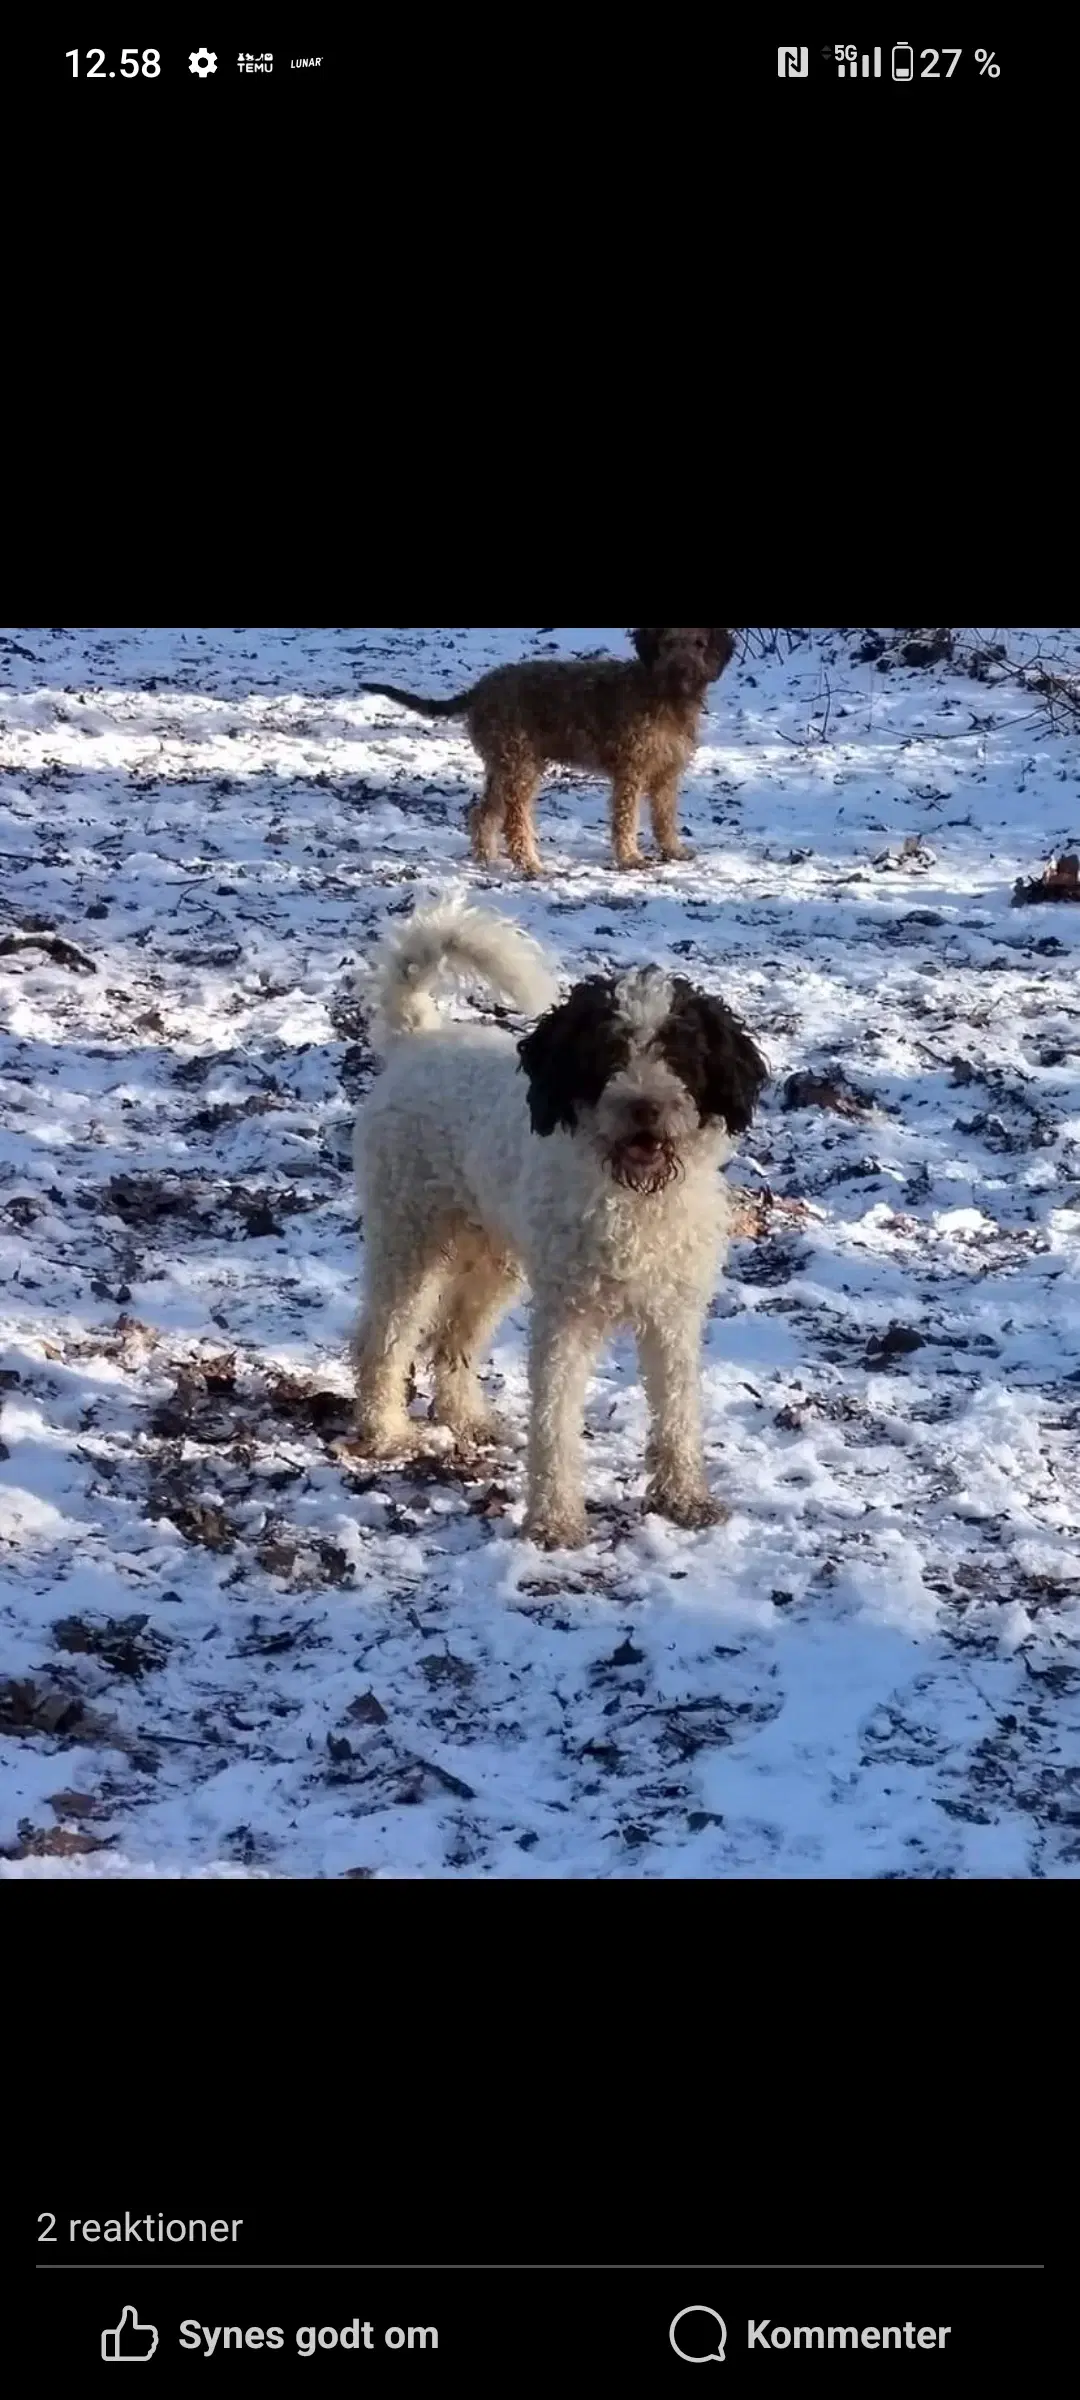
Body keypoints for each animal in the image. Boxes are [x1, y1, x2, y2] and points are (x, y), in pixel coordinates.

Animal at [350, 902, 763, 1555]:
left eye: (680, 1054)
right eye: (609, 1052)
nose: (645, 1107)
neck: (631, 1198)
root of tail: (418, 1038)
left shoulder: (673, 1315)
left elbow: (678, 1412)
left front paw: (684, 1499)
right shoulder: (566, 1318)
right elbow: (555, 1423)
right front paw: (554, 1521)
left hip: (494, 1257)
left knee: (453, 1339)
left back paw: (466, 1418)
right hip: (408, 1237)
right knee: (383, 1338)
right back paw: (385, 1429)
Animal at [360, 628, 734, 873]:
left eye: (699, 643)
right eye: (668, 643)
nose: (682, 670)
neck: (665, 696)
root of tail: (480, 689)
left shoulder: (666, 774)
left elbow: (665, 816)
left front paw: (673, 850)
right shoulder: (631, 771)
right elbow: (626, 820)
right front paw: (630, 858)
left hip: (503, 766)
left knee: (483, 813)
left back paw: (486, 857)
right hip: (521, 766)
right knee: (514, 822)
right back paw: (529, 864)